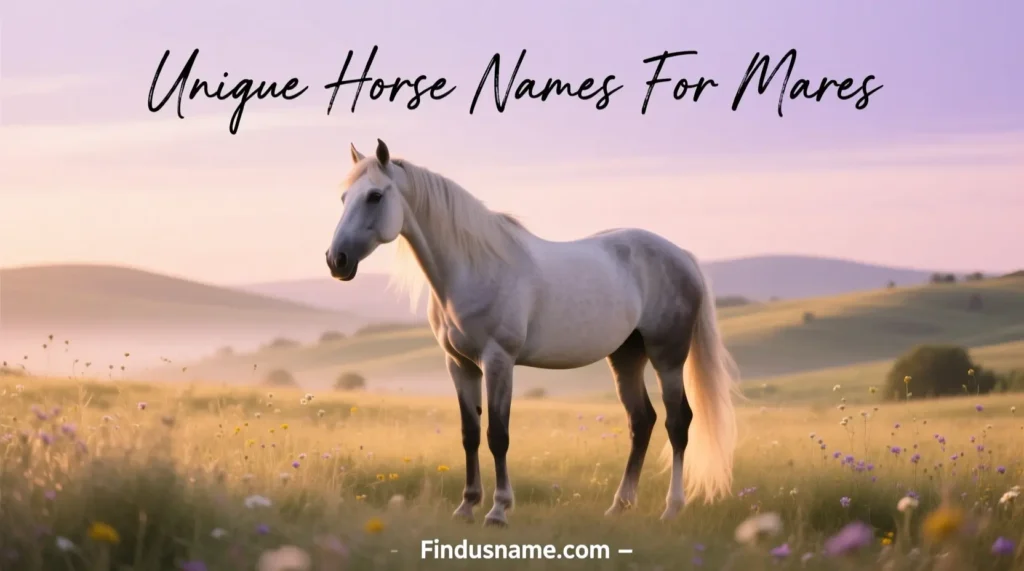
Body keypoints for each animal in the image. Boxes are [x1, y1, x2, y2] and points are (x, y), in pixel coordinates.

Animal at [325, 139, 740, 527]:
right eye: (344, 198)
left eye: (375, 196)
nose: (336, 261)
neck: (473, 267)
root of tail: (681, 255)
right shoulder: (459, 365)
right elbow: (469, 434)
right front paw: (466, 506)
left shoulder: (498, 361)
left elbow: (498, 435)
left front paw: (498, 511)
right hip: (626, 356)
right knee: (641, 422)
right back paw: (619, 506)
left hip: (668, 356)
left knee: (677, 422)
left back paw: (671, 509)